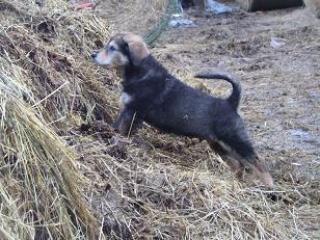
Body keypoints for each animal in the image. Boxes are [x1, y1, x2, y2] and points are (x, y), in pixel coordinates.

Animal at [91, 32, 274, 186]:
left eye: (112, 48)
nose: (93, 55)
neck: (140, 72)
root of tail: (231, 102)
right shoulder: (126, 110)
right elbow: (116, 126)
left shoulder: (133, 112)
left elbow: (123, 130)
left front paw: (117, 140)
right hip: (219, 145)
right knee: (238, 164)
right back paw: (238, 181)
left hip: (236, 140)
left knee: (257, 162)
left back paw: (269, 186)